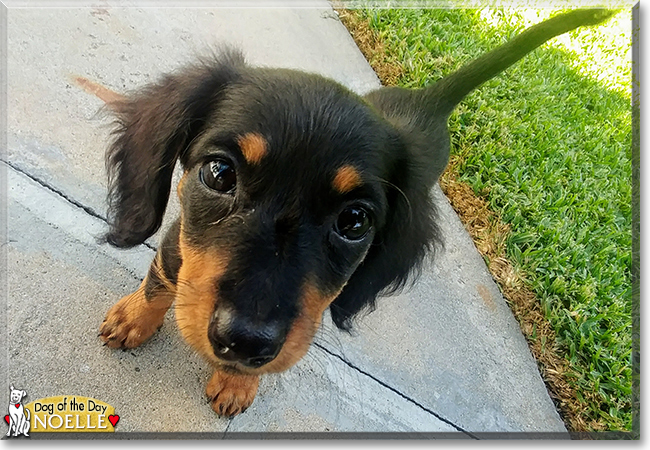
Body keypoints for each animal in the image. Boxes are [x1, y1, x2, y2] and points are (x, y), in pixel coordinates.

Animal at [92, 9, 612, 418]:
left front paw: (238, 382)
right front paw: (133, 319)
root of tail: (428, 100)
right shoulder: (177, 241)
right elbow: (160, 280)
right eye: (219, 174)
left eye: (355, 222)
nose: (245, 342)